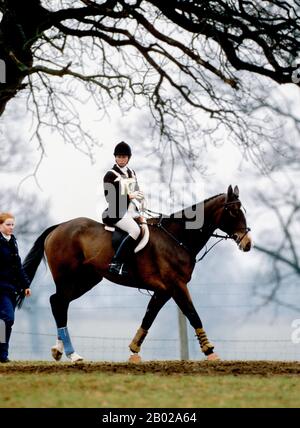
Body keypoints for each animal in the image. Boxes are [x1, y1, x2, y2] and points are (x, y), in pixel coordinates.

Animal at [22, 184, 251, 362]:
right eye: (233, 211)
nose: (247, 243)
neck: (177, 238)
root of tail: (59, 227)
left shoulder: (164, 290)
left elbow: (148, 317)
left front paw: (133, 351)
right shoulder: (177, 285)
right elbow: (193, 314)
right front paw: (210, 351)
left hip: (87, 280)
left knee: (59, 302)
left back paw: (60, 350)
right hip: (67, 278)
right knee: (59, 303)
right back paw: (72, 354)